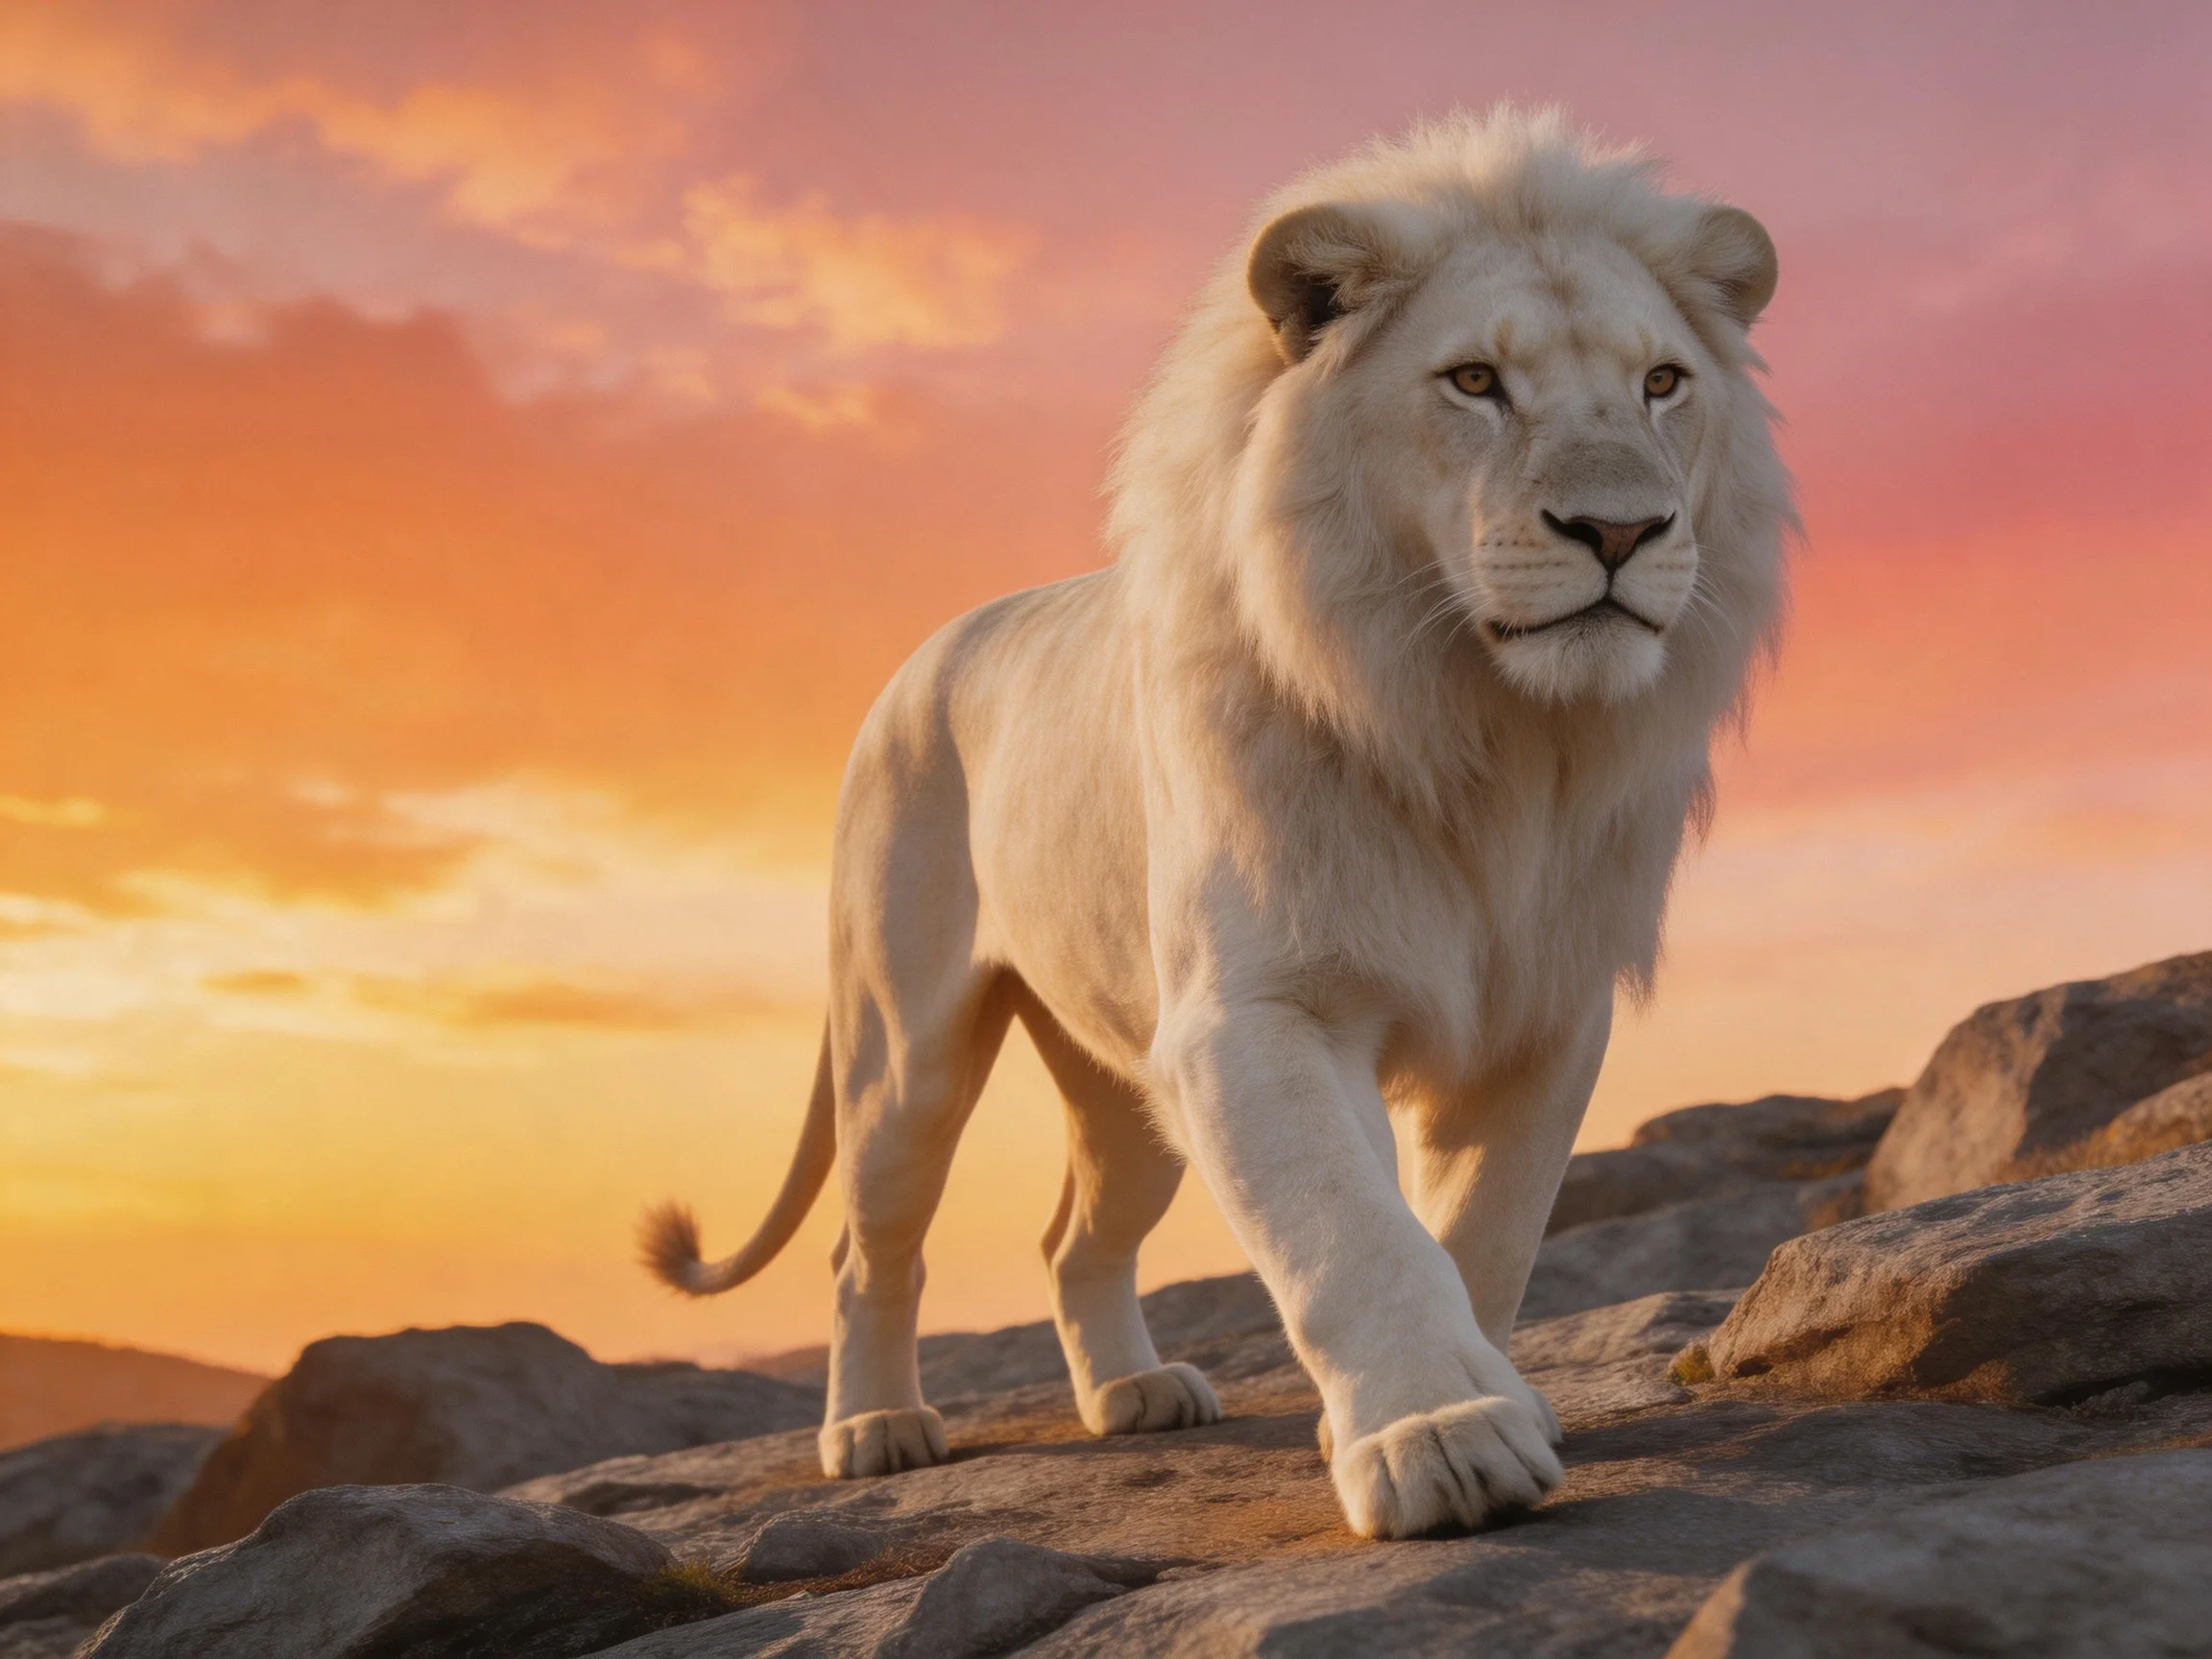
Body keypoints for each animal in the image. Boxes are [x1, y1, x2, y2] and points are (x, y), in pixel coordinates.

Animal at [642, 107, 1789, 1540]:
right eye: (1474, 381)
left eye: (1662, 383)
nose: (1622, 530)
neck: (1492, 733)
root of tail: (927, 651)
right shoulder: (1258, 1010)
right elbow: (1349, 1228)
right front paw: (1439, 1442)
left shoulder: (1542, 1018)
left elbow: (1483, 1234)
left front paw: (1465, 1400)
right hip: (902, 1049)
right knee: (871, 1243)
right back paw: (875, 1431)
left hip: (1127, 1088)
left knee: (1072, 1238)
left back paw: (1134, 1396)